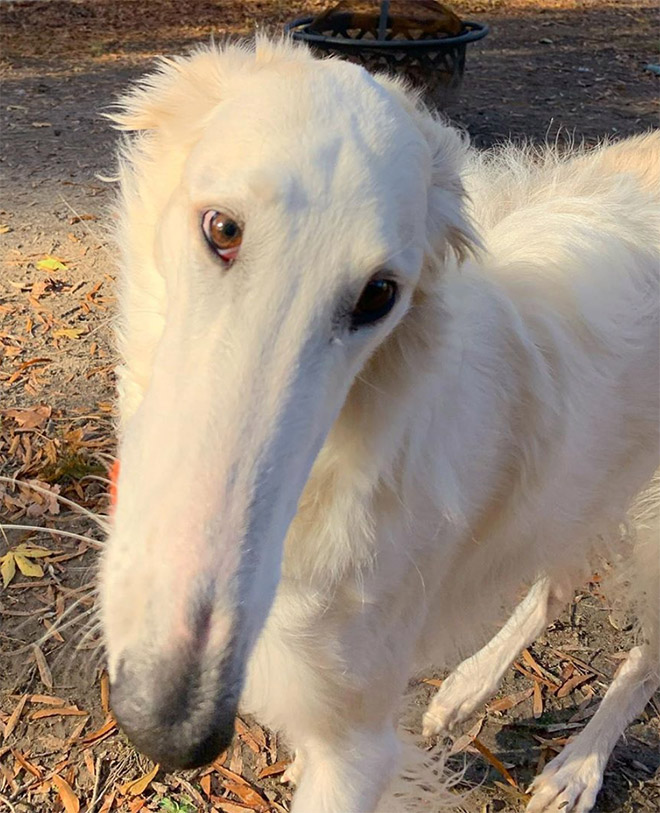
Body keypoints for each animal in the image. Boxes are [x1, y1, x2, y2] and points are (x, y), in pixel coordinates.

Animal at [99, 38, 660, 812]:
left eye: (379, 295)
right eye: (222, 229)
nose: (173, 725)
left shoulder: (358, 747)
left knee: (642, 657)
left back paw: (577, 767)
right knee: (558, 577)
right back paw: (464, 690)